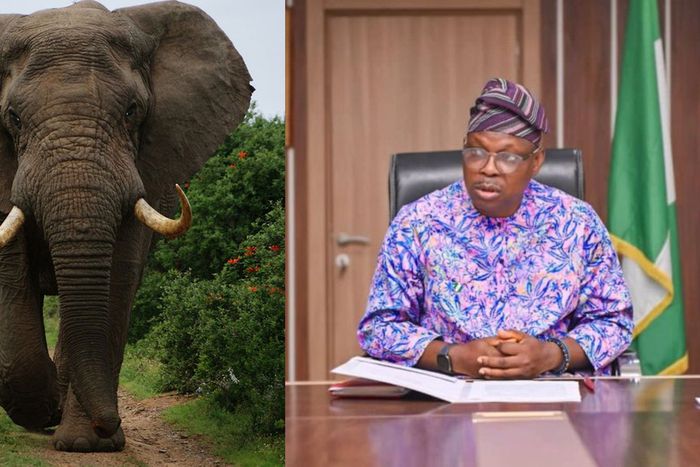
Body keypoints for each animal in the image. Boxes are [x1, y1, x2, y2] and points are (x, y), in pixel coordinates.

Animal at [0, 0, 252, 452]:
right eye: (12, 117)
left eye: (132, 111)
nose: (109, 423)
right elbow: (11, 274)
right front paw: (45, 408)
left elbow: (118, 276)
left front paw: (86, 443)